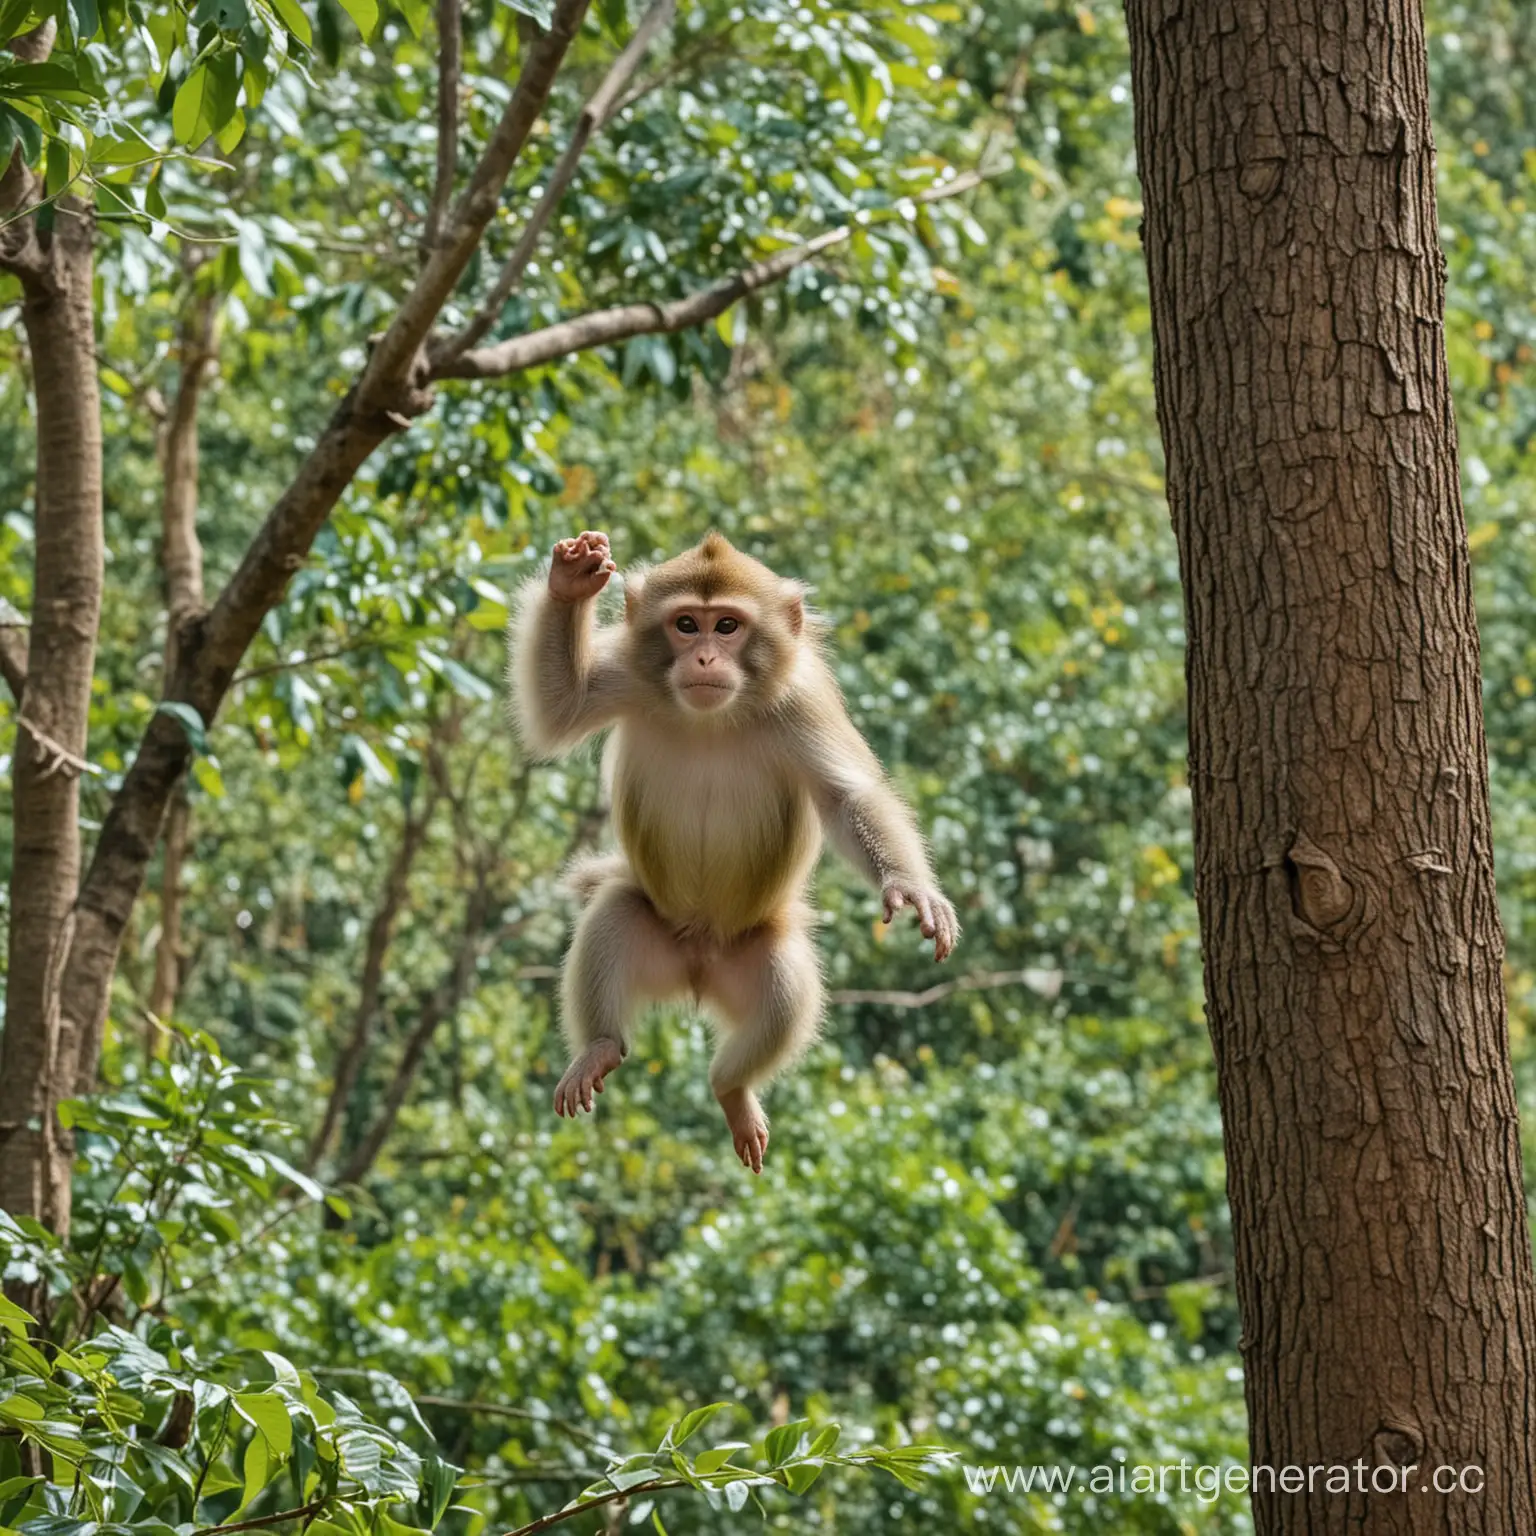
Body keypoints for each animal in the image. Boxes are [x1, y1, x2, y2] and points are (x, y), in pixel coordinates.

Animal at [509, 534, 952, 1167]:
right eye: (685, 625)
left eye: (727, 626)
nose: (703, 659)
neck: (712, 718)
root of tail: (696, 970)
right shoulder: (632, 674)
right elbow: (560, 707)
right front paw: (571, 581)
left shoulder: (800, 702)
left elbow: (847, 797)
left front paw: (910, 886)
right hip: (656, 929)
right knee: (615, 912)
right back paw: (600, 1047)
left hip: (754, 943)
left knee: (784, 986)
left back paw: (732, 1087)